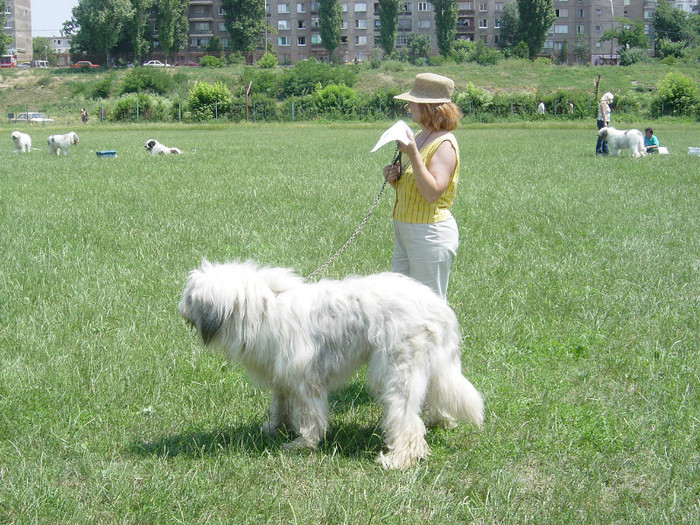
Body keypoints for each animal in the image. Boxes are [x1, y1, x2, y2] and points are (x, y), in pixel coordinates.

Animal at [178, 260, 484, 468]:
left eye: (189, 296)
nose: (179, 310)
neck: (261, 309)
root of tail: (439, 309)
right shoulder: (282, 377)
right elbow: (279, 404)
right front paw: (275, 428)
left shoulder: (305, 379)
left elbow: (311, 416)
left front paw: (302, 444)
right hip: (428, 366)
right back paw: (441, 421)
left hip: (397, 370)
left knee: (406, 419)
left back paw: (398, 458)